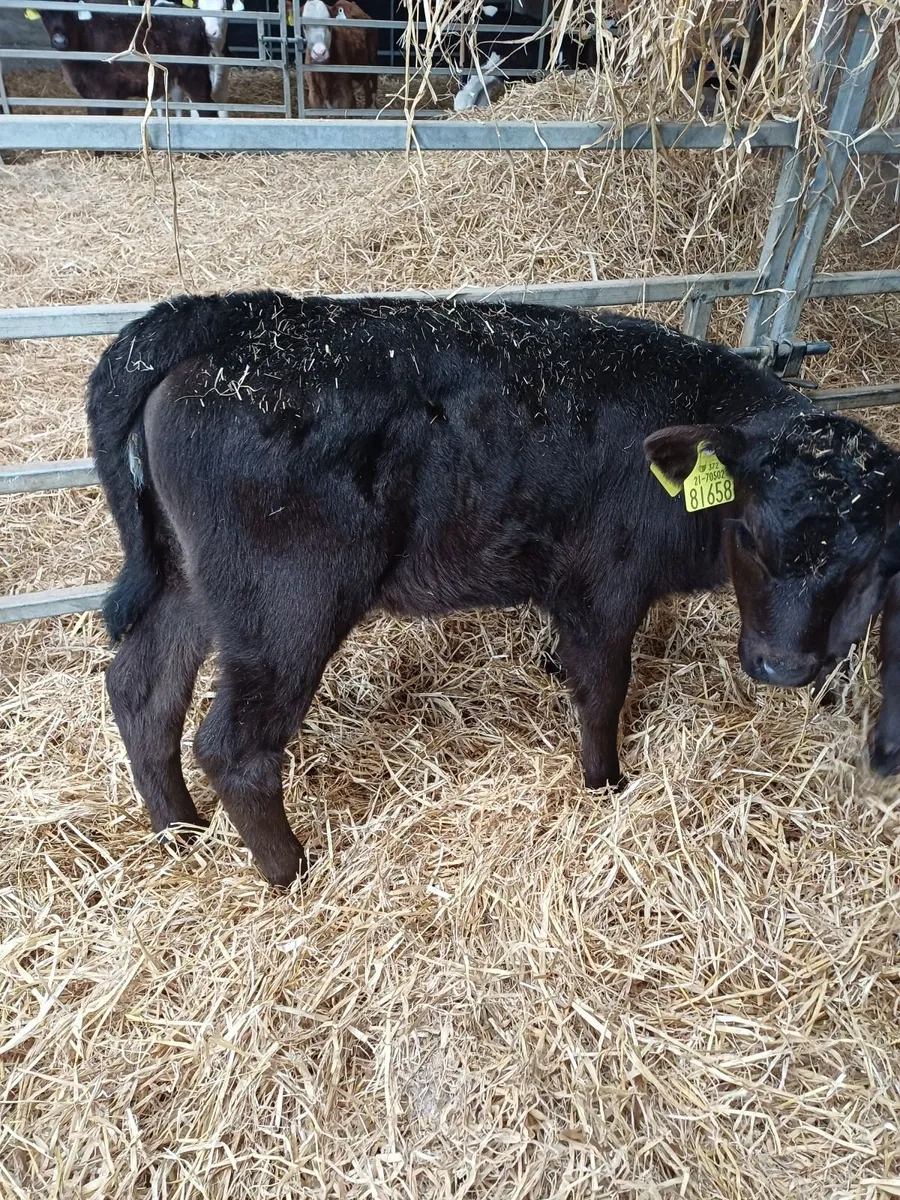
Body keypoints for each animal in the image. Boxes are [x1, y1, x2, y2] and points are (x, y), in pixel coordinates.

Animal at [31, 0, 213, 115]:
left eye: (70, 12)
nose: (60, 41)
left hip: (196, 75)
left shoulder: (108, 94)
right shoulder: (93, 97)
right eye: (43, 13)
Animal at [86, 291, 900, 886]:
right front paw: (606, 783)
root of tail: (234, 315)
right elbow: (604, 688)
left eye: (868, 561)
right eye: (750, 534)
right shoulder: (605, 586)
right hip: (285, 607)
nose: (782, 668)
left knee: (142, 690)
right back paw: (293, 874)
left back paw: (181, 833)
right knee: (234, 746)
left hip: (193, 582)